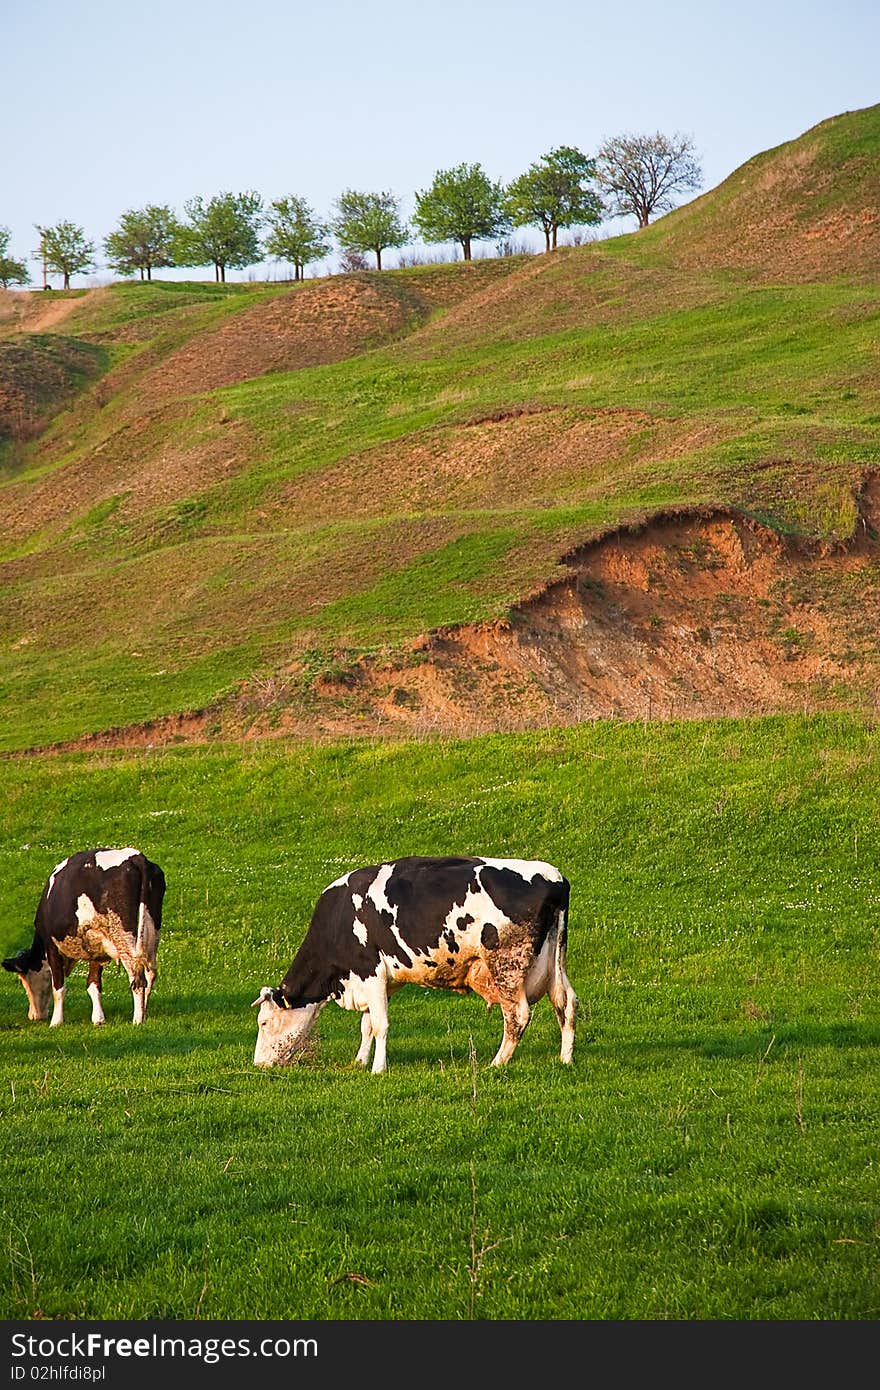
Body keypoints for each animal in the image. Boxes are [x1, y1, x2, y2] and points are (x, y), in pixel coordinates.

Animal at [3, 839, 166, 1028]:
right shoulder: (96, 944)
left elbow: (58, 987)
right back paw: (144, 1012)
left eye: (25, 981)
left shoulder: (52, 946)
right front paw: (98, 1018)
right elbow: (93, 984)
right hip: (151, 936)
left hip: (124, 938)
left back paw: (138, 1020)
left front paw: (56, 1021)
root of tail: (136, 857)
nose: (34, 1016)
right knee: (150, 974)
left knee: (137, 977)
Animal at [251, 856, 575, 1073]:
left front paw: (378, 1069)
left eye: (264, 1023)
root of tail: (555, 877)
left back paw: (496, 1063)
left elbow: (380, 1025)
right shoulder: (378, 981)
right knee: (567, 1003)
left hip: (506, 963)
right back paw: (565, 1058)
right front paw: (360, 1061)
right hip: (554, 962)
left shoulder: (370, 971)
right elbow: (367, 1025)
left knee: (517, 1015)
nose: (258, 1064)